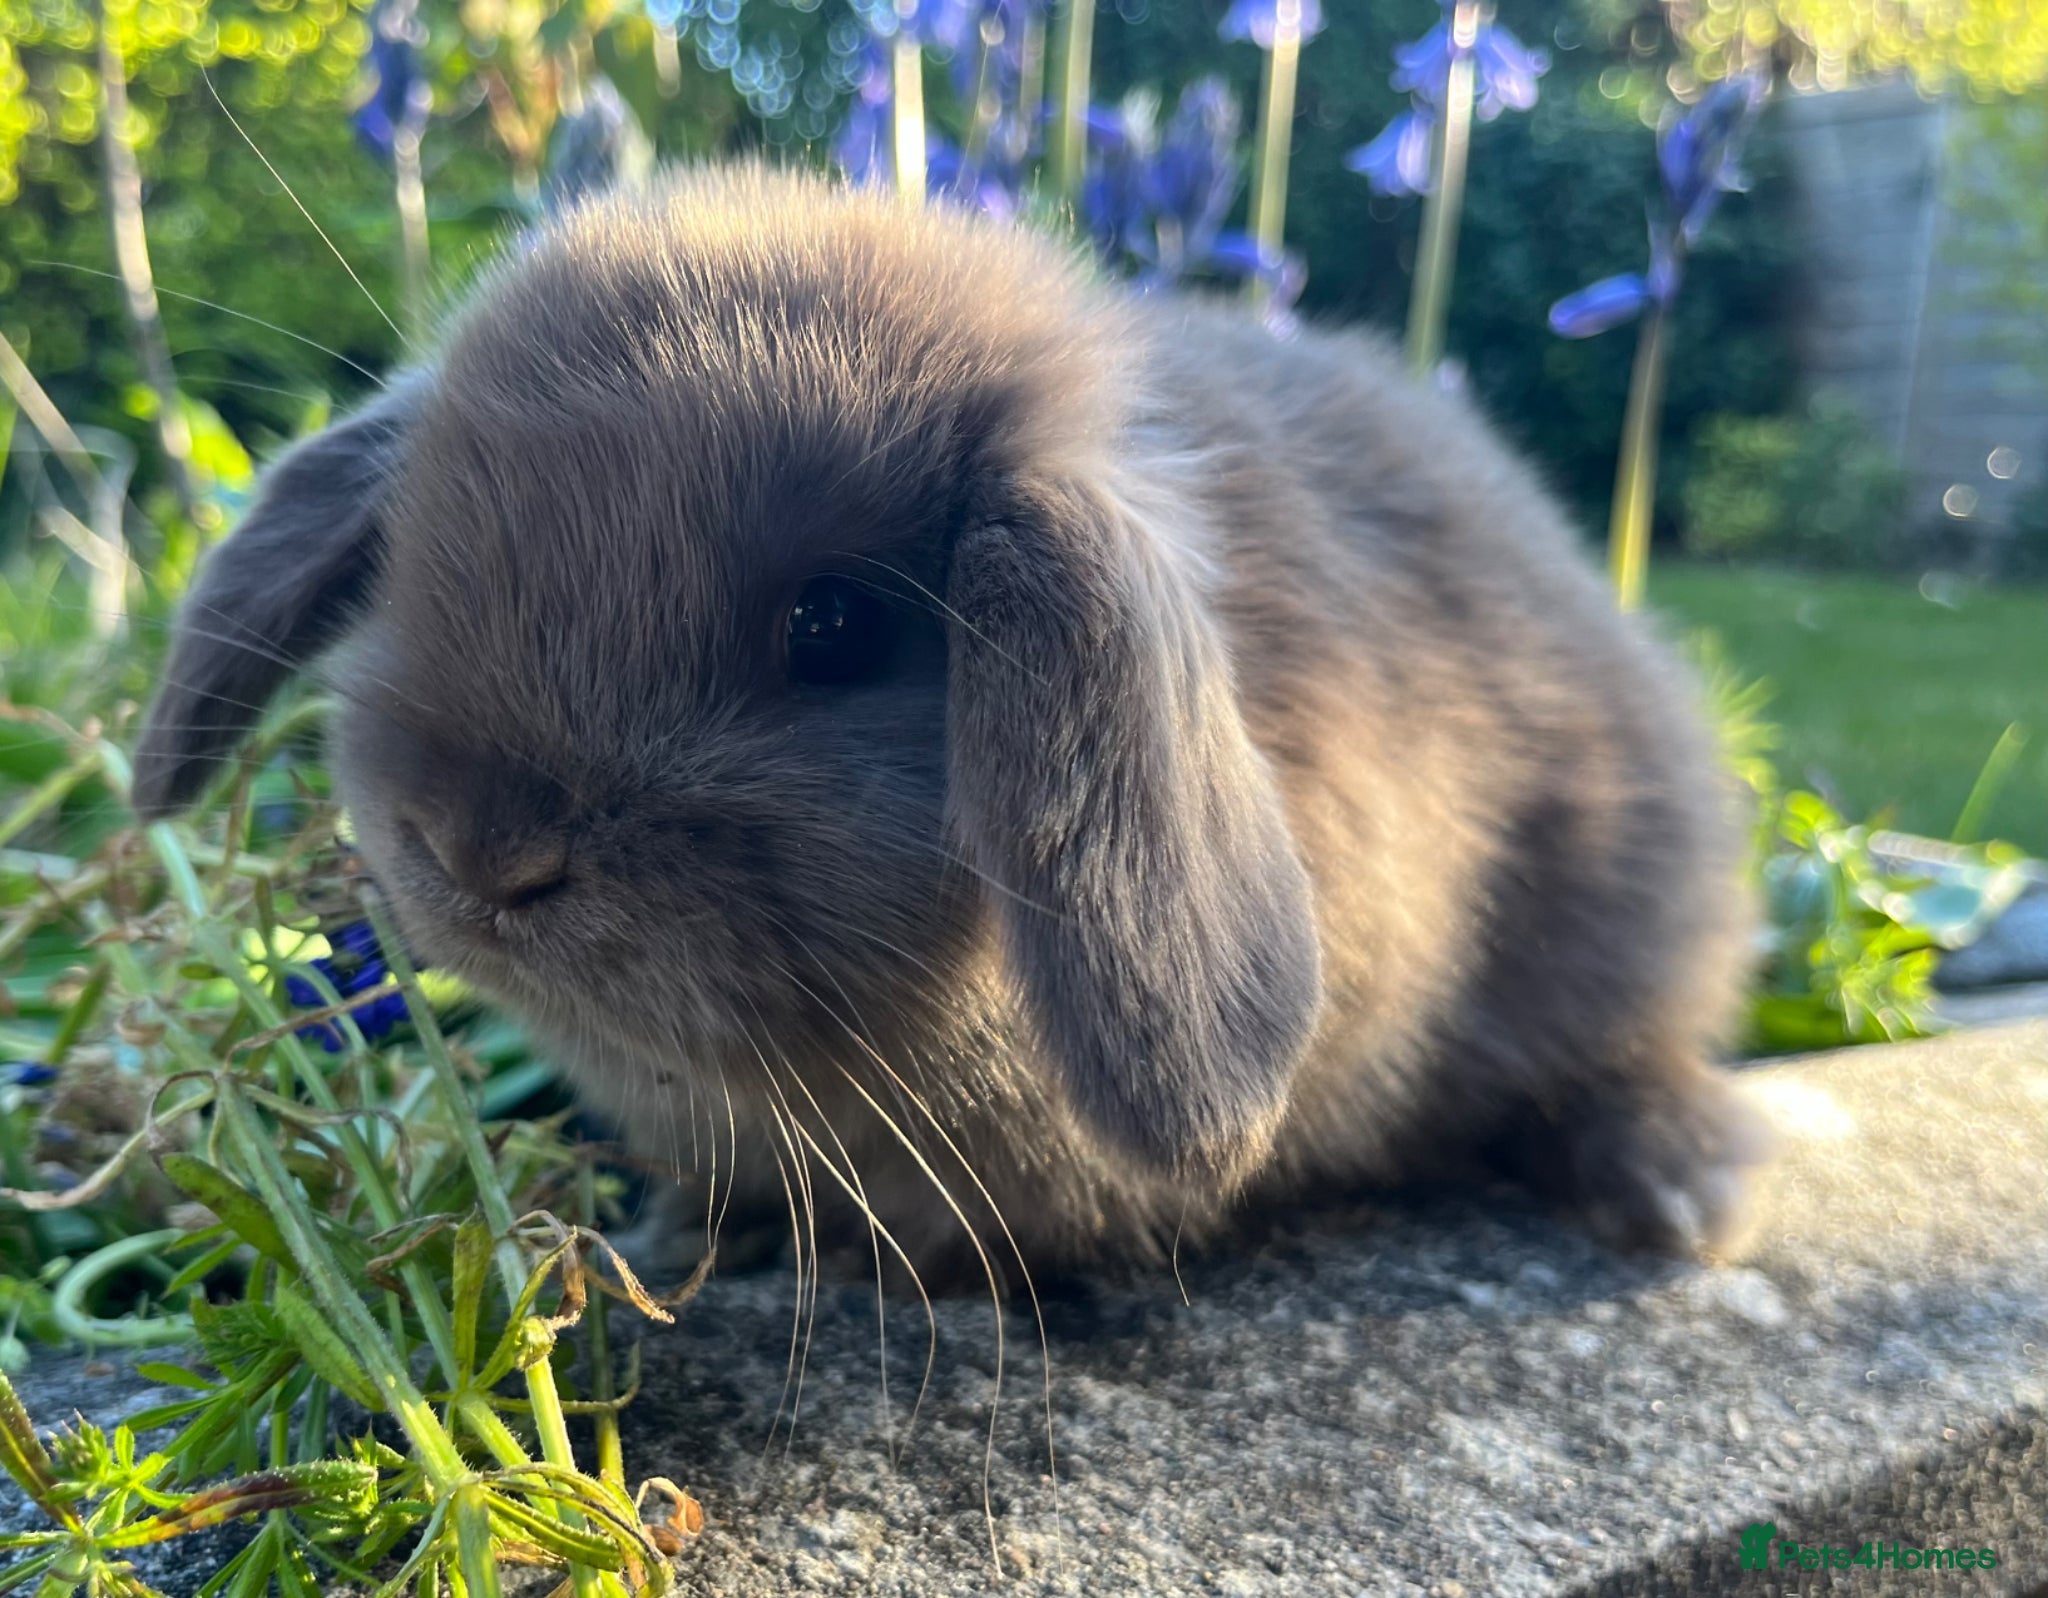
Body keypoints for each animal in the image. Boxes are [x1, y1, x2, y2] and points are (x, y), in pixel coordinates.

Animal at [131, 164, 1766, 1286]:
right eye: (416, 555)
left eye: (835, 627)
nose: (481, 855)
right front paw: (669, 1243)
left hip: (1640, 906)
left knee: (1636, 1051)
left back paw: (1679, 1200)